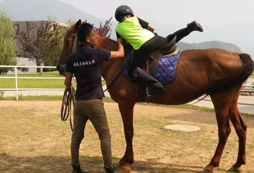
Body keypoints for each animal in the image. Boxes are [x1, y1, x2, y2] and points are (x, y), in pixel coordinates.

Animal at [57, 20, 254, 173]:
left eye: (67, 40)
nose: (60, 67)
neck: (118, 61)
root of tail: (237, 55)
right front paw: (125, 159)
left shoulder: (126, 103)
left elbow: (128, 131)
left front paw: (127, 162)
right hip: (230, 101)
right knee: (241, 128)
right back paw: (238, 164)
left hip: (220, 100)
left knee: (224, 131)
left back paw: (212, 164)